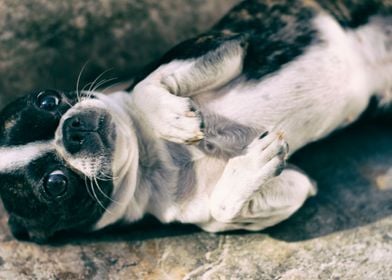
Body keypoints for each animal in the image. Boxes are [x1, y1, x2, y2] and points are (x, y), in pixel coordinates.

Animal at [0, 0, 390, 242]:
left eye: (47, 99)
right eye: (56, 184)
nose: (72, 130)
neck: (150, 158)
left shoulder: (221, 42)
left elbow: (146, 86)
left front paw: (174, 120)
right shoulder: (294, 186)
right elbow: (224, 205)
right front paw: (251, 165)